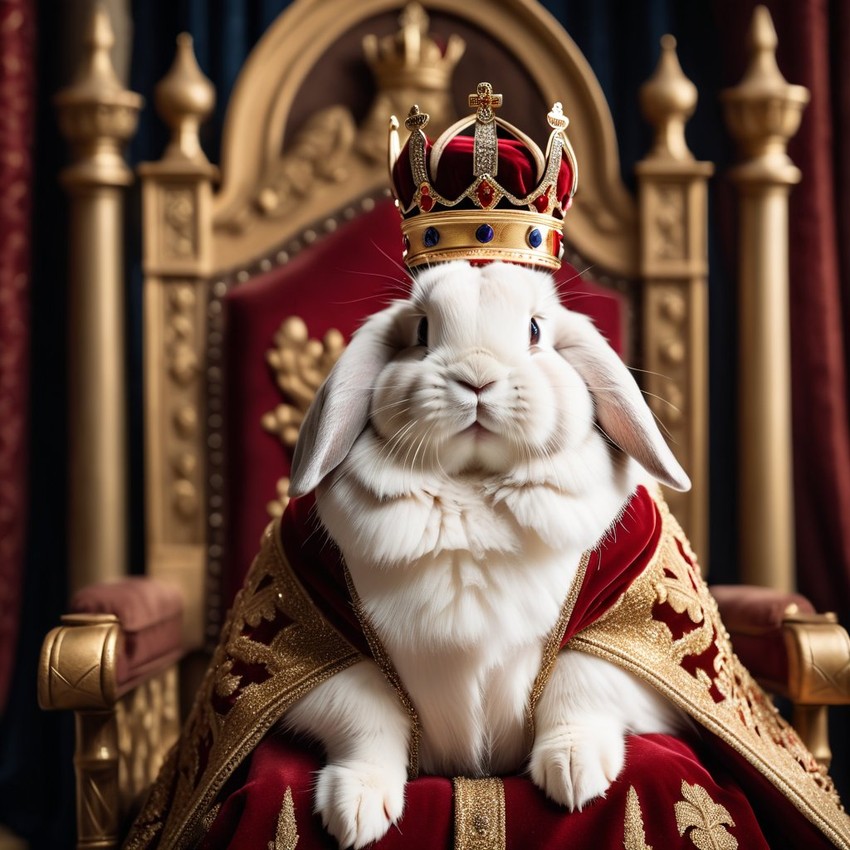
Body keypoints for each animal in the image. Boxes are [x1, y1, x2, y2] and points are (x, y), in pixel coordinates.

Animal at [284, 258, 688, 848]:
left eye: (536, 330)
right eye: (422, 331)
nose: (476, 378)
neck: (472, 489)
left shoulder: (626, 623)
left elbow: (582, 681)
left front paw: (573, 773)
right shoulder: (322, 633)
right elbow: (364, 712)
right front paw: (354, 810)